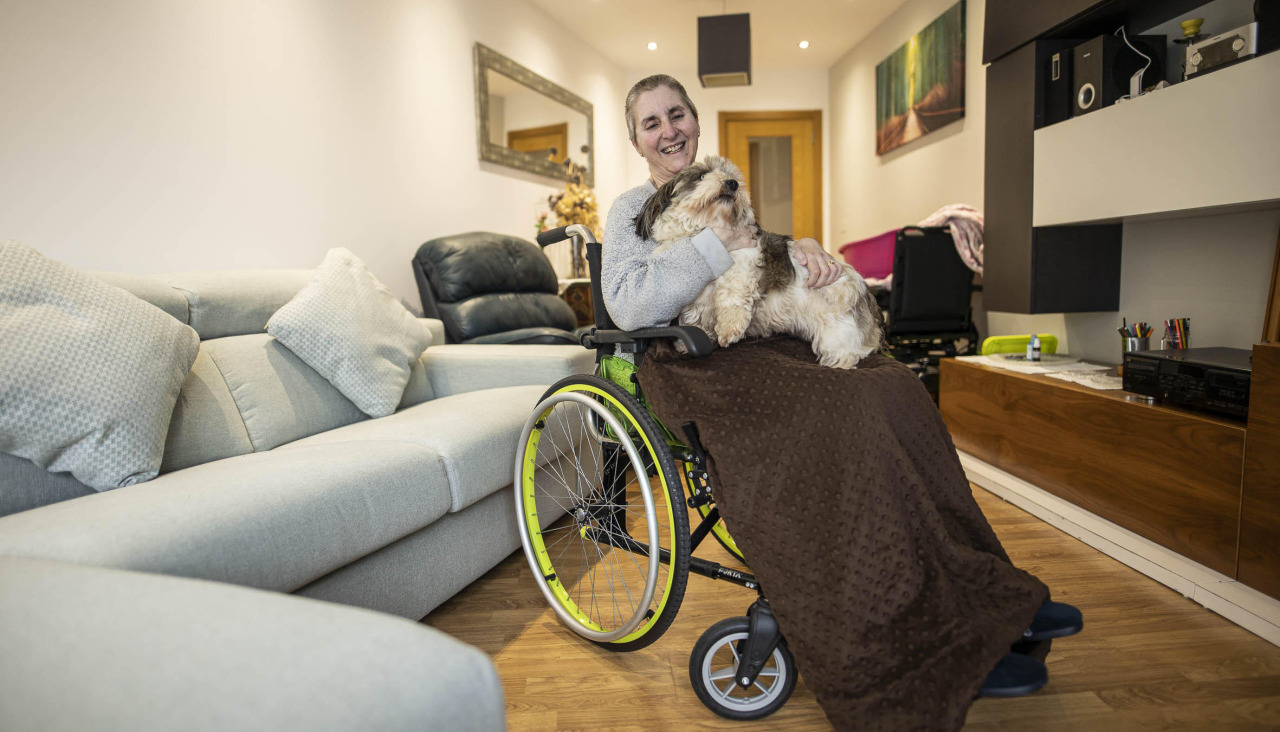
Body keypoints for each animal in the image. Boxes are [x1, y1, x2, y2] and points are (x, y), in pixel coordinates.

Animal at [635, 155, 883, 369]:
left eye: (732, 176)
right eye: (701, 175)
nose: (732, 183)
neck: (707, 229)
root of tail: (862, 287)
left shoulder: (742, 264)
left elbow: (731, 295)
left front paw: (729, 329)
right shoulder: (695, 299)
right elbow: (695, 318)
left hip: (836, 326)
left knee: (849, 350)